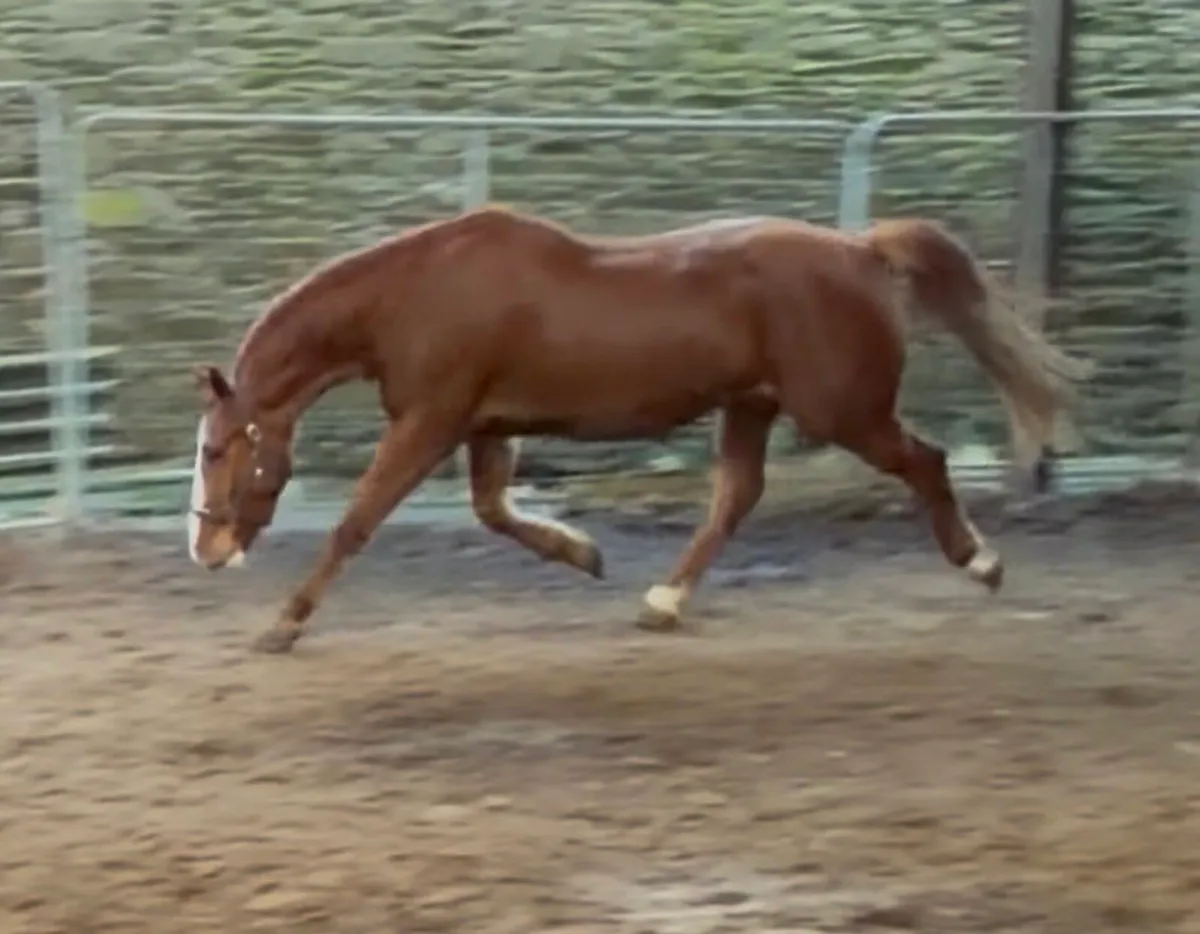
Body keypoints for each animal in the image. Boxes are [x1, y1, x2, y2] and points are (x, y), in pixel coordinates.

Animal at [187, 206, 1089, 653]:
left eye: (217, 448)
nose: (205, 548)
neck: (417, 294)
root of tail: (863, 251)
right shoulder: (484, 423)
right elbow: (492, 511)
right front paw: (584, 553)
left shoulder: (431, 420)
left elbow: (358, 521)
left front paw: (283, 623)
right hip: (752, 405)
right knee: (736, 496)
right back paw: (661, 601)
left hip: (843, 411)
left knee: (925, 461)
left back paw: (982, 563)